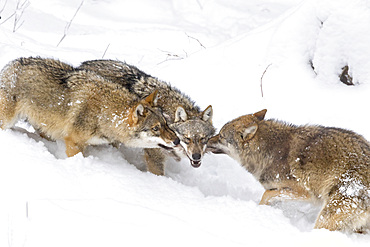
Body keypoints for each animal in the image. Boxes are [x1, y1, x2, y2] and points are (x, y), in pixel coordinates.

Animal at [0, 57, 179, 157]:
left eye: (166, 124)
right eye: (155, 128)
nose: (177, 140)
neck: (104, 113)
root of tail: (9, 66)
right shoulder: (73, 143)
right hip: (7, 121)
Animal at [79, 59, 215, 176]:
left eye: (203, 139)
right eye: (187, 138)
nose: (197, 156)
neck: (167, 117)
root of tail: (83, 64)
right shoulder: (154, 157)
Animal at [208, 109, 370, 233]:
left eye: (221, 136)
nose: (207, 139)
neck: (267, 151)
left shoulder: (303, 193)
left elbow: (266, 194)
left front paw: (259, 210)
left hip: (325, 217)